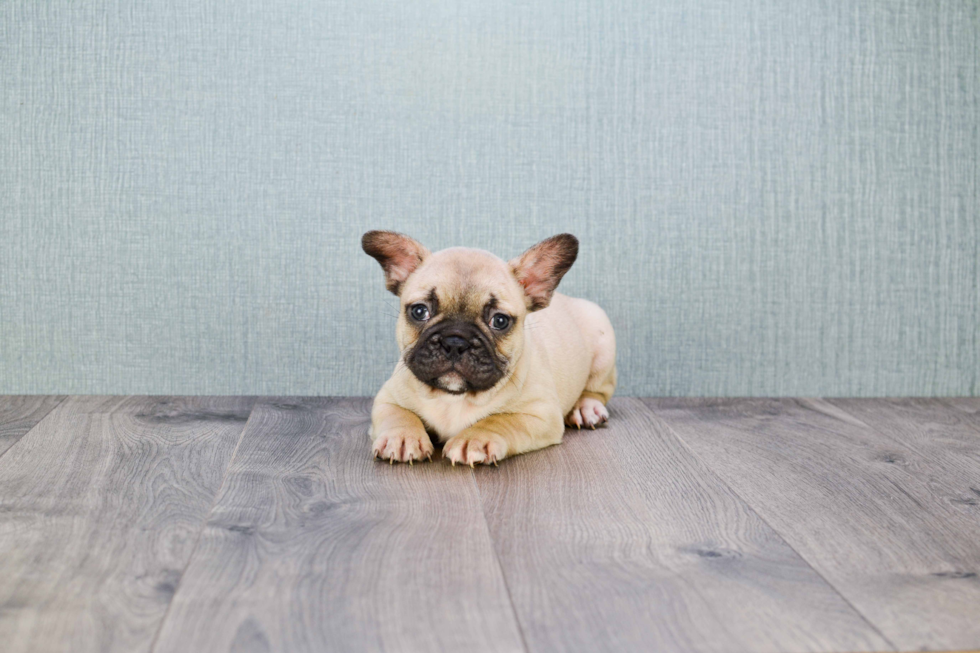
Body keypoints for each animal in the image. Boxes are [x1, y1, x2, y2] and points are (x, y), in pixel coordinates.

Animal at [364, 229, 616, 464]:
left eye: (500, 321)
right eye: (419, 311)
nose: (455, 342)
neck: (454, 398)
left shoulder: (540, 414)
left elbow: (500, 419)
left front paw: (475, 438)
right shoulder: (387, 399)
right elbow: (400, 415)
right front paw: (402, 437)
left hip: (603, 344)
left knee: (597, 390)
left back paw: (586, 408)